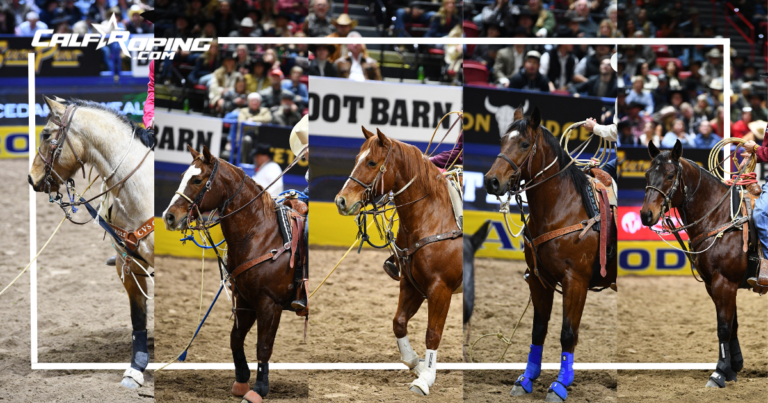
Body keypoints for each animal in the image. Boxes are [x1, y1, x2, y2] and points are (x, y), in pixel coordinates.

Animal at [163, 147, 306, 403]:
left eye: (197, 180)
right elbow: (236, 338)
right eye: (182, 175)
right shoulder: (246, 299)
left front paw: (258, 389)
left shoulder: (270, 304)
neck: (262, 234)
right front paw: (241, 380)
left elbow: (263, 346)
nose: (168, 217)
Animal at [332, 128, 462, 396]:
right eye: (357, 158)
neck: (434, 218)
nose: (341, 201)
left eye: (372, 162)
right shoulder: (411, 284)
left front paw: (424, 379)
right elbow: (398, 323)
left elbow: (433, 333)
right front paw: (417, 365)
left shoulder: (440, 289)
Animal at [484, 105, 616, 402]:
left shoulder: (575, 281)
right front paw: (526, 379)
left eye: (524, 143)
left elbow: (568, 333)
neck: (561, 208)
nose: (491, 181)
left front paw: (560, 384)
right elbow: (538, 329)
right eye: (501, 140)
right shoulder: (538, 279)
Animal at [640, 141, 752, 388]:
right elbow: (732, 325)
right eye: (647, 174)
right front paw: (732, 368)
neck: (721, 218)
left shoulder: (725, 283)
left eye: (670, 175)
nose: (645, 215)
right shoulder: (714, 284)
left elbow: (723, 328)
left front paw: (718, 374)